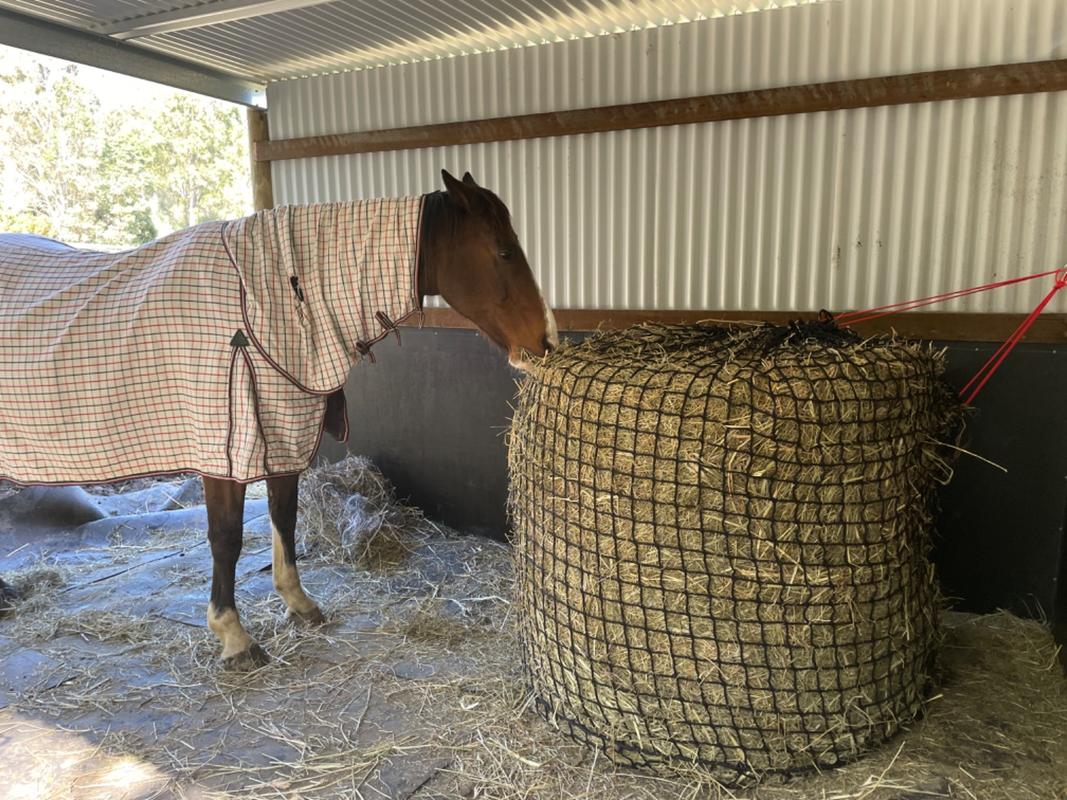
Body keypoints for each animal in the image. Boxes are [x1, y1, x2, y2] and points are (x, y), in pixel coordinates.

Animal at [0, 169, 557, 669]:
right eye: (503, 251)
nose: (547, 340)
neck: (267, 301)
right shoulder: (223, 449)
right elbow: (227, 538)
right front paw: (233, 637)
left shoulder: (283, 429)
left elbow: (283, 516)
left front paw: (299, 603)